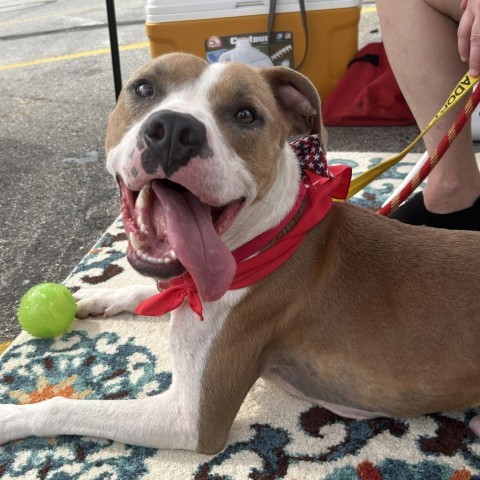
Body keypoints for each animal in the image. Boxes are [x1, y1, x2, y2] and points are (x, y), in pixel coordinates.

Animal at [2, 53, 480, 454]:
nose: (174, 129)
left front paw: (9, 417)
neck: (265, 238)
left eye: (245, 114)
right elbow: (146, 290)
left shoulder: (190, 420)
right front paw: (98, 297)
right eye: (143, 88)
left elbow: (65, 406)